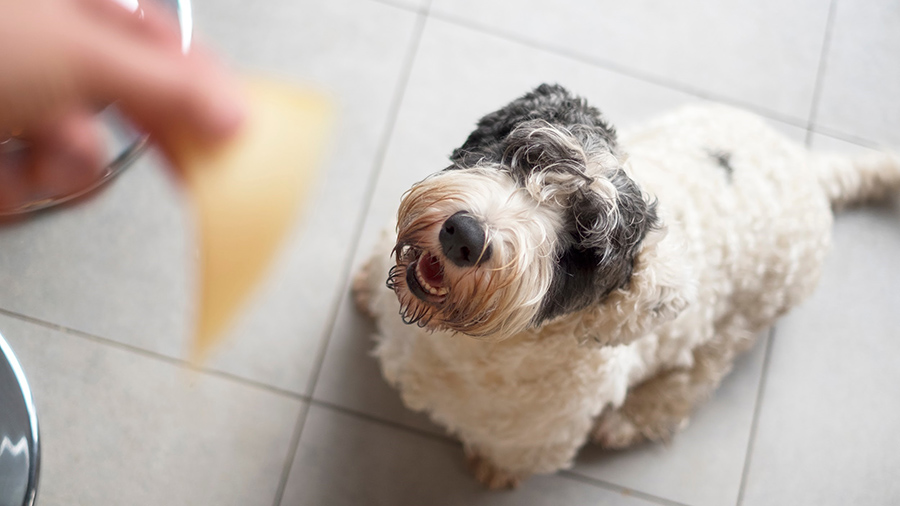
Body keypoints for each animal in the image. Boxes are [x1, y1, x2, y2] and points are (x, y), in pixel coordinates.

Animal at [354, 85, 900, 488]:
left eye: (584, 247)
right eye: (527, 156)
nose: (464, 235)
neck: (457, 348)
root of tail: (812, 171)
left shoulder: (539, 436)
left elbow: (513, 454)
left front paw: (494, 469)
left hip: (742, 319)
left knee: (697, 376)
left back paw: (632, 418)